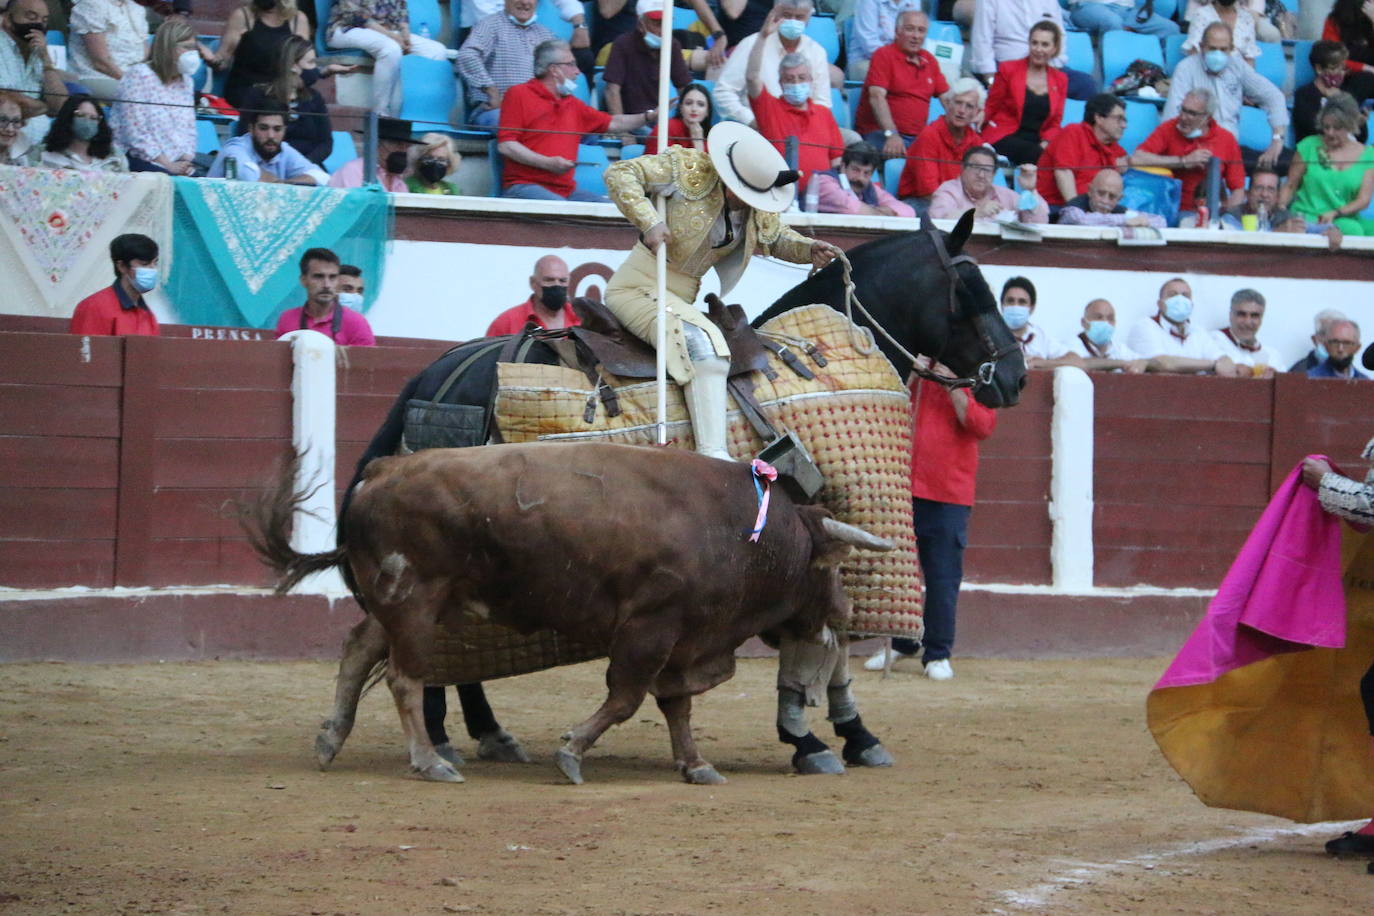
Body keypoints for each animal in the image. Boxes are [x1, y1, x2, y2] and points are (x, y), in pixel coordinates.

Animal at [250, 439, 890, 785]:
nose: (846, 612)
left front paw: (695, 764)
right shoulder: (649, 628)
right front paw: (571, 752)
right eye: (832, 568)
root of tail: (381, 471)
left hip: (399, 603)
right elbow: (627, 698)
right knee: (405, 679)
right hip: (415, 600)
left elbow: (676, 705)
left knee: (359, 649)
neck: (742, 530)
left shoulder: (683, 640)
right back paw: (430, 762)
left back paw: (331, 738)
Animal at [311, 212, 1022, 780]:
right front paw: (830, 735)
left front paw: (824, 733)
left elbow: (821, 631)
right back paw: (441, 743)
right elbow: (831, 634)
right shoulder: (833, 525)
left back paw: (476, 735)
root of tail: (437, 372)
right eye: (970, 292)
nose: (1013, 376)